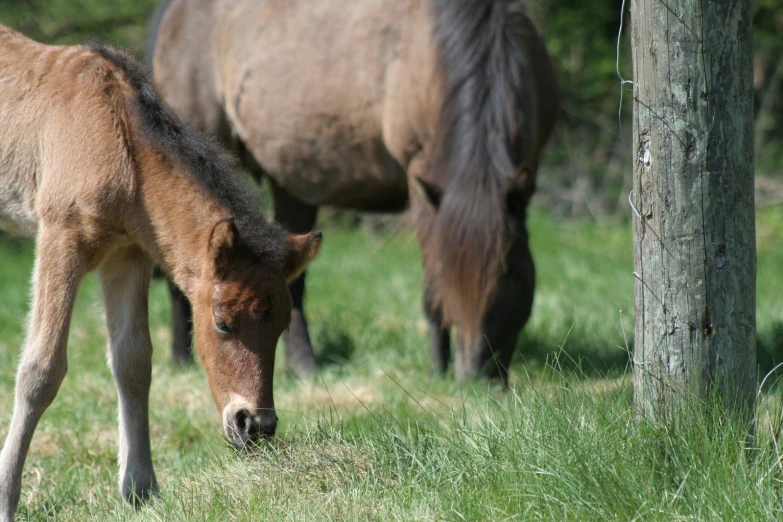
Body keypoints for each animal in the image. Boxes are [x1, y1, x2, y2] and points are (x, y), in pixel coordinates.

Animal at [0, 25, 322, 516]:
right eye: (222, 323)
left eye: (283, 325)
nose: (255, 426)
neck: (117, 140)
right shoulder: (61, 237)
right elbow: (40, 370)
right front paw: (5, 498)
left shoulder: (127, 254)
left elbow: (134, 362)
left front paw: (140, 491)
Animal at [150, 0, 560, 382]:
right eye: (447, 276)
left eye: (515, 274)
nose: (478, 374)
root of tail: (174, 14)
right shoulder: (419, 177)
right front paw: (435, 371)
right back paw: (182, 358)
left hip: (292, 184)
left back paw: (304, 366)